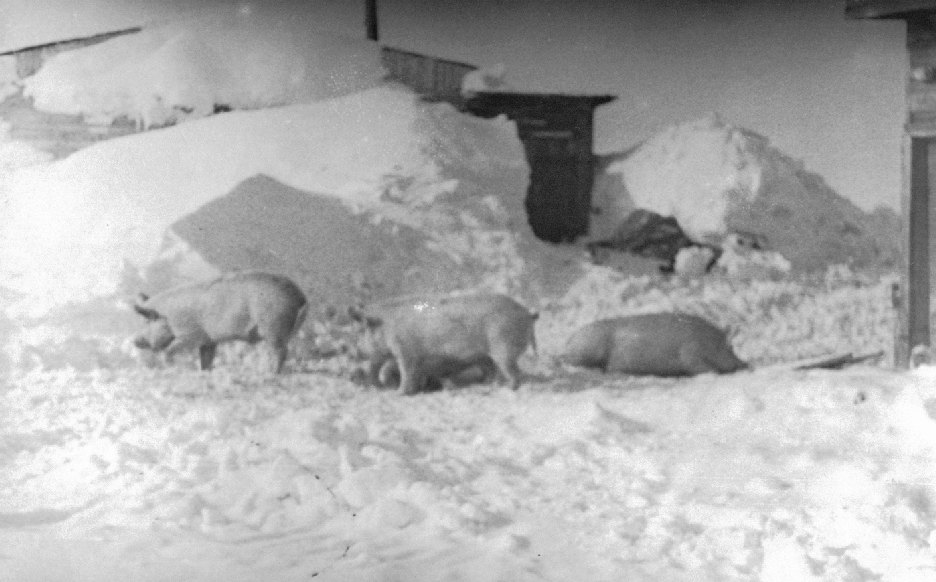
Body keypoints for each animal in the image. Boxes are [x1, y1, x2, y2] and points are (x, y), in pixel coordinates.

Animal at [133, 271, 308, 373]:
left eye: (147, 321)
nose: (135, 340)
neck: (168, 316)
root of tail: (300, 296)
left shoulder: (189, 335)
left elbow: (169, 350)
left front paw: (168, 365)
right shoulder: (208, 340)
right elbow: (206, 359)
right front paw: (205, 372)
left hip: (273, 325)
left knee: (280, 351)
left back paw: (270, 373)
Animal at [360, 292, 538, 395]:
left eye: (366, 328)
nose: (359, 350)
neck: (387, 325)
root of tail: (527, 313)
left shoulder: (406, 351)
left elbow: (406, 371)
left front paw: (398, 393)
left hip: (503, 347)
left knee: (514, 371)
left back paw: (507, 388)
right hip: (486, 355)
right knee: (493, 370)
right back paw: (487, 385)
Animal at [561, 313, 747, 377]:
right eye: (731, 348)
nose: (745, 364)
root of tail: (569, 341)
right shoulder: (689, 353)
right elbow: (702, 368)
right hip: (591, 347)